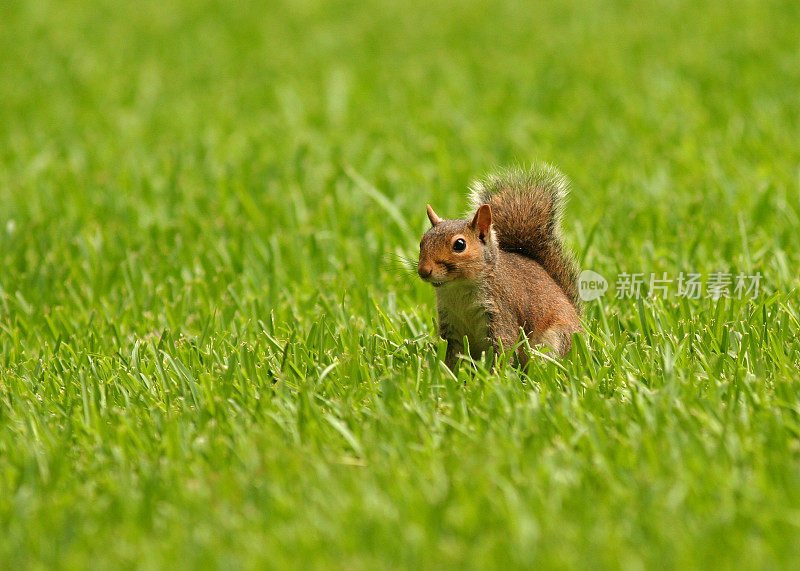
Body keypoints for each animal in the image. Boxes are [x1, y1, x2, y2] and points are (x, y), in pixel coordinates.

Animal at [418, 165, 580, 370]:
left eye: (460, 245)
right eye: (422, 241)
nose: (423, 271)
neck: (459, 290)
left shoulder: (500, 314)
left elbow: (503, 350)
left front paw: (496, 375)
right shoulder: (450, 325)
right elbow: (452, 358)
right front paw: (447, 373)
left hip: (554, 340)